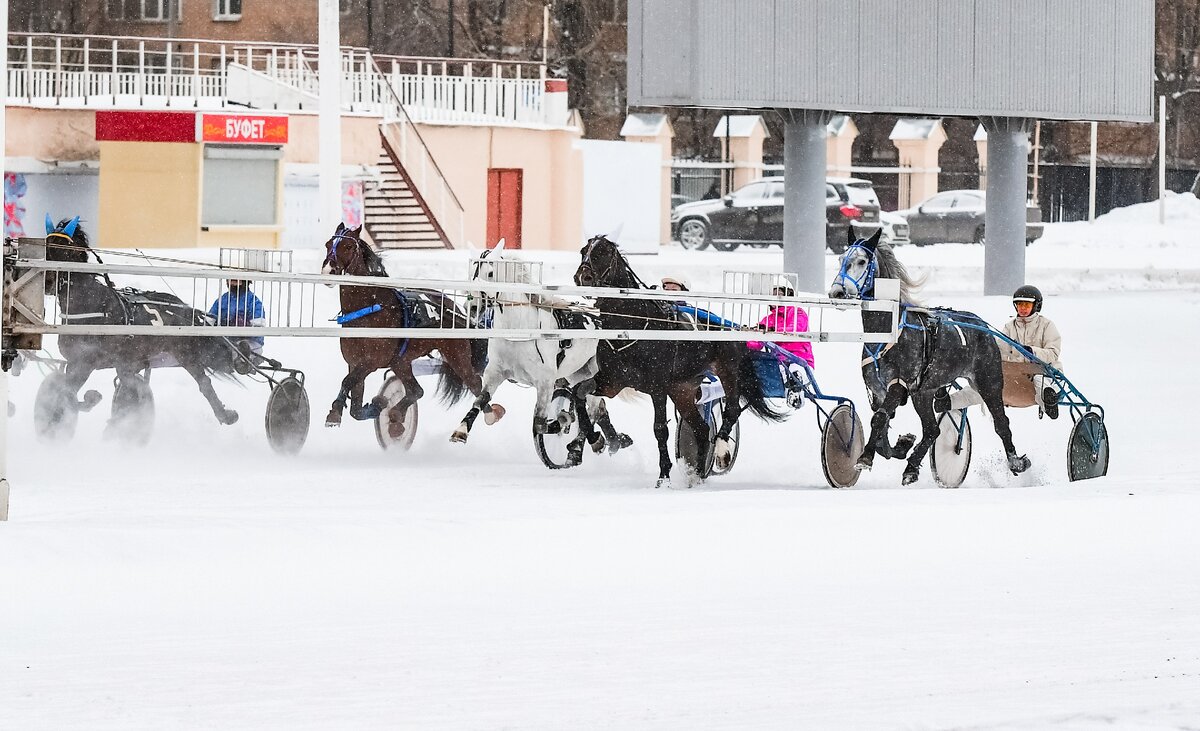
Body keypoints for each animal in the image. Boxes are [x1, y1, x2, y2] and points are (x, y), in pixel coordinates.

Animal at [39, 213, 242, 436]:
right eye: (47, 247)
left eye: (67, 250)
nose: (47, 282)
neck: (92, 307)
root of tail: (184, 307)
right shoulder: (77, 361)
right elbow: (64, 392)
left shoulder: (92, 361)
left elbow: (73, 393)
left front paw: (95, 403)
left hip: (184, 352)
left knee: (203, 383)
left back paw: (225, 415)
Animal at [324, 222, 487, 439]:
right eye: (328, 244)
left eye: (349, 246)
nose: (328, 269)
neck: (369, 308)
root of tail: (455, 309)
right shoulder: (354, 361)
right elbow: (355, 405)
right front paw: (374, 406)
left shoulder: (371, 361)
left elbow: (347, 381)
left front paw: (335, 411)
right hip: (401, 361)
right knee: (416, 391)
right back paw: (396, 416)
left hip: (457, 355)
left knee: (476, 383)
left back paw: (488, 414)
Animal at [451, 241, 633, 468]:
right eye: (471, 272)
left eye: (491, 273)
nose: (473, 306)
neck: (520, 330)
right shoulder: (495, 373)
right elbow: (480, 401)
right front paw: (461, 431)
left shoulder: (545, 382)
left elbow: (539, 424)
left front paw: (564, 420)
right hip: (578, 373)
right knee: (596, 407)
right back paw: (608, 441)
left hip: (595, 374)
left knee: (592, 409)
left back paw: (589, 442)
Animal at [573, 234, 787, 484]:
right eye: (583, 251)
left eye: (603, 253)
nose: (582, 276)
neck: (631, 326)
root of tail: (729, 326)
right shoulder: (612, 382)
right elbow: (578, 394)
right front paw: (595, 439)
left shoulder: (657, 387)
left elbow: (659, 429)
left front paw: (664, 475)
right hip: (682, 390)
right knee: (701, 429)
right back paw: (697, 473)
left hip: (727, 372)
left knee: (731, 410)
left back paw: (721, 448)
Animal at [825, 225, 1032, 482]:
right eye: (841, 259)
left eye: (862, 261)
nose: (837, 292)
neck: (889, 333)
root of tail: (981, 324)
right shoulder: (879, 390)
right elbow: (881, 424)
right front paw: (900, 445)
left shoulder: (899, 383)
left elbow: (880, 419)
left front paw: (864, 457)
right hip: (924, 393)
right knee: (932, 429)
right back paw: (912, 466)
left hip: (989, 381)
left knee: (1001, 422)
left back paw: (1015, 461)